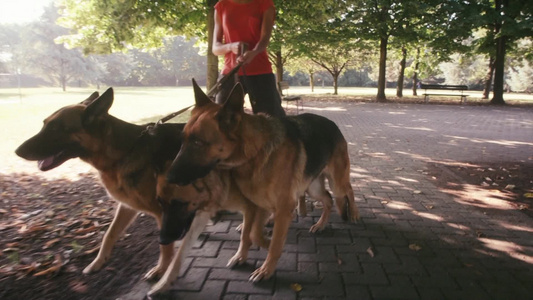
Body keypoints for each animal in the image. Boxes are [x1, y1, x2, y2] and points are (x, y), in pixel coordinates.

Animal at [165, 81, 358, 282]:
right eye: (182, 140)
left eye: (198, 143)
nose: (168, 177)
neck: (254, 153)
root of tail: (332, 123)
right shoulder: (255, 205)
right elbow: (250, 234)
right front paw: (243, 254)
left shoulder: (282, 208)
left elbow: (271, 242)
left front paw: (266, 267)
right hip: (313, 189)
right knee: (327, 198)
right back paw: (320, 225)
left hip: (337, 183)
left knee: (348, 190)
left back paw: (353, 214)